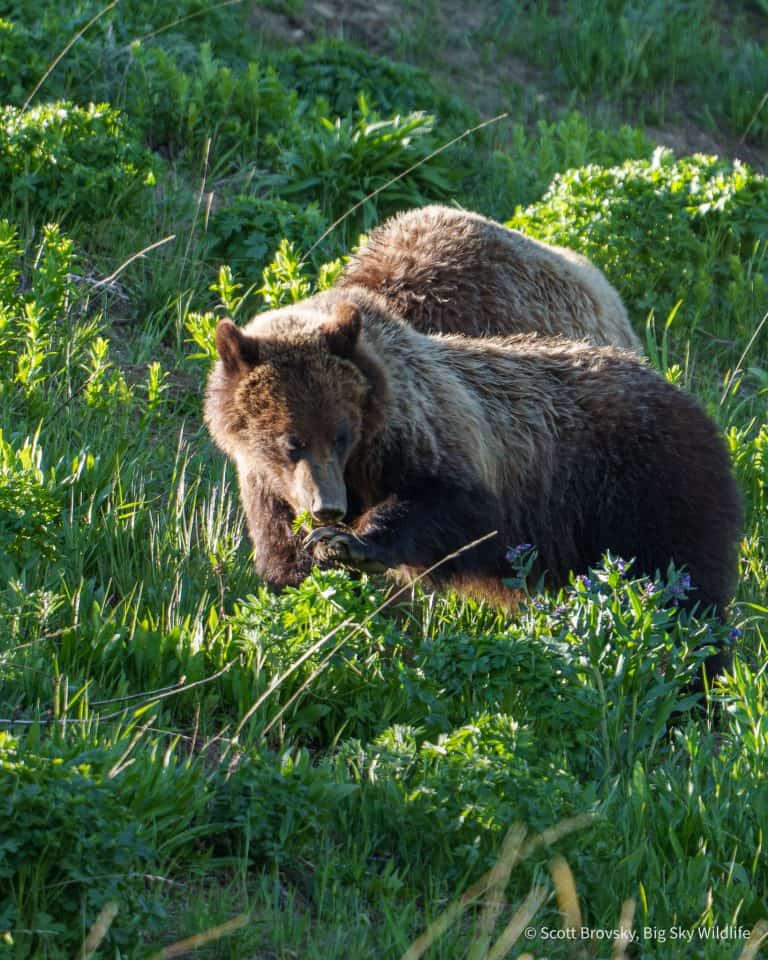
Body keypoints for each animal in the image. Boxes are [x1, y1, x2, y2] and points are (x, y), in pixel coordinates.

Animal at [204, 288, 742, 669]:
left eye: (341, 435)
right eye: (290, 441)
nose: (327, 507)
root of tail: (688, 398)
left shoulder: (432, 435)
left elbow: (453, 508)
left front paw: (350, 543)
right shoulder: (264, 488)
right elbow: (283, 562)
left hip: (648, 489)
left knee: (683, 591)